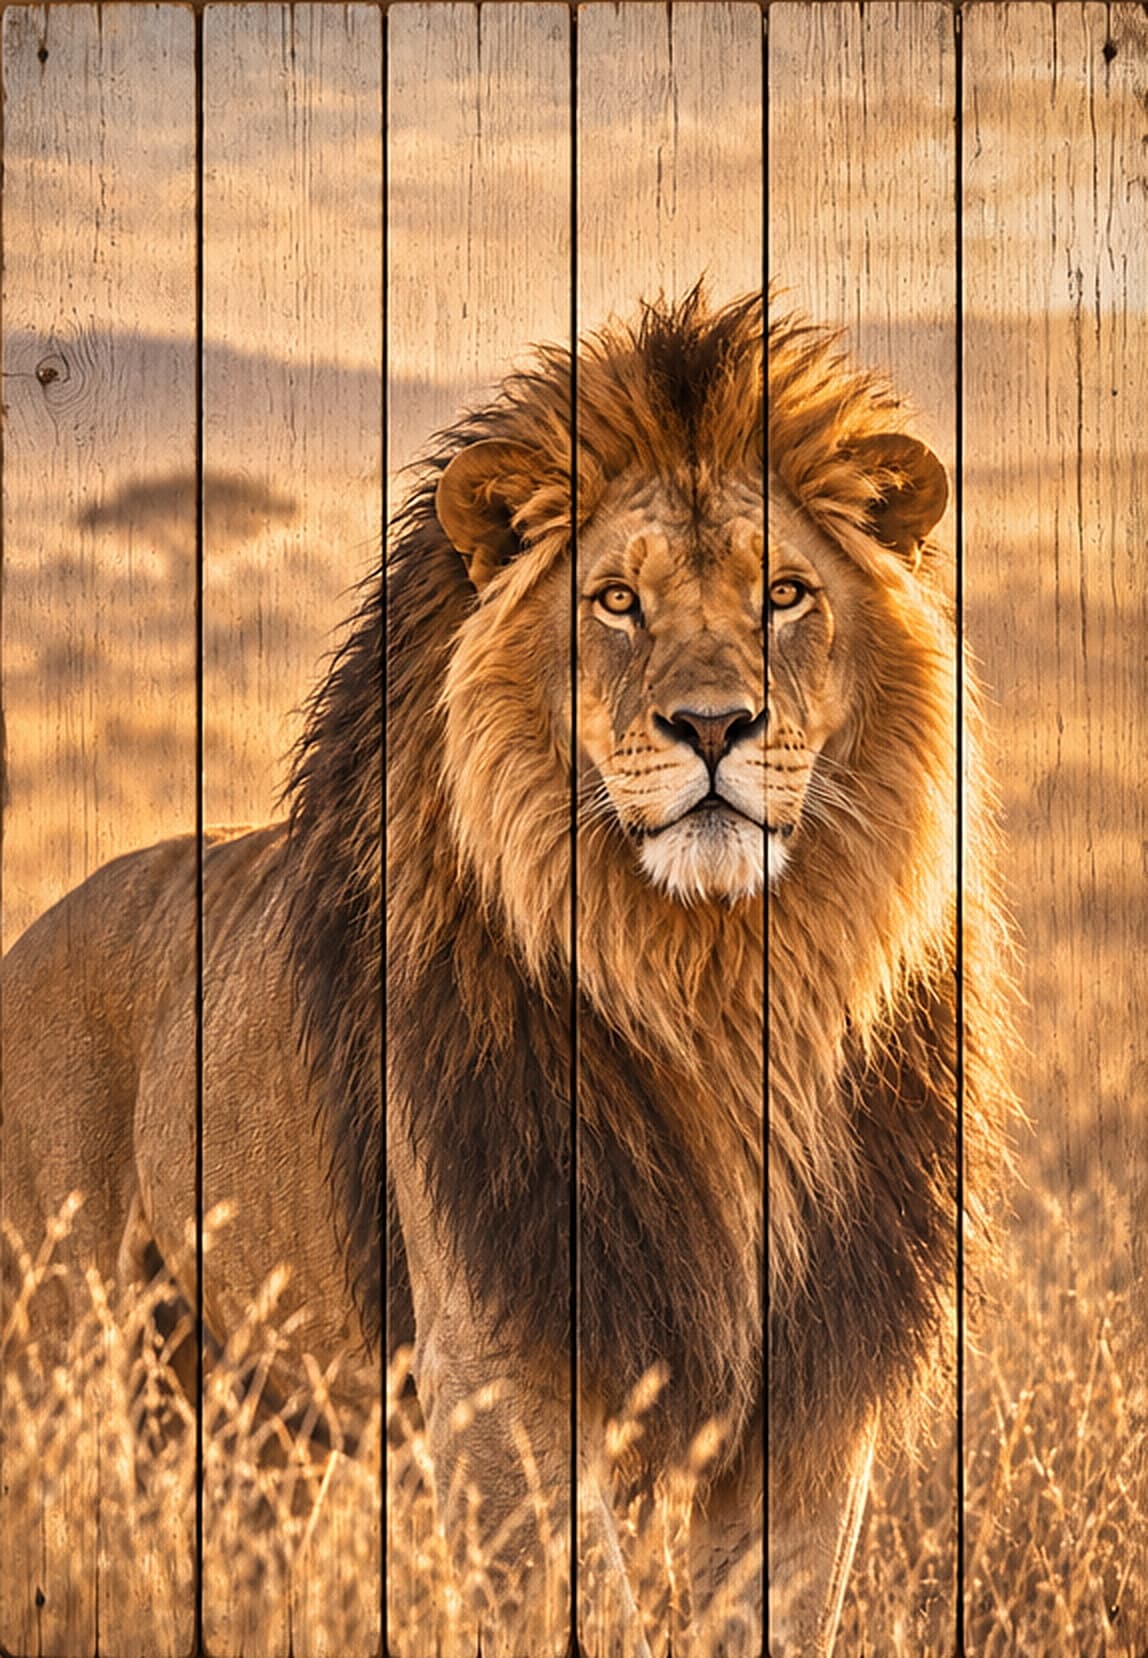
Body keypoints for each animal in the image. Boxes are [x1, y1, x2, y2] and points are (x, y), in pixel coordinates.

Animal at [1, 289, 1014, 1657]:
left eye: (784, 594)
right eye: (616, 600)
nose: (712, 725)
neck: (710, 987)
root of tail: (36, 930)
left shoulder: (811, 1396)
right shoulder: (500, 1369)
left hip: (259, 1404)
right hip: (71, 1355)